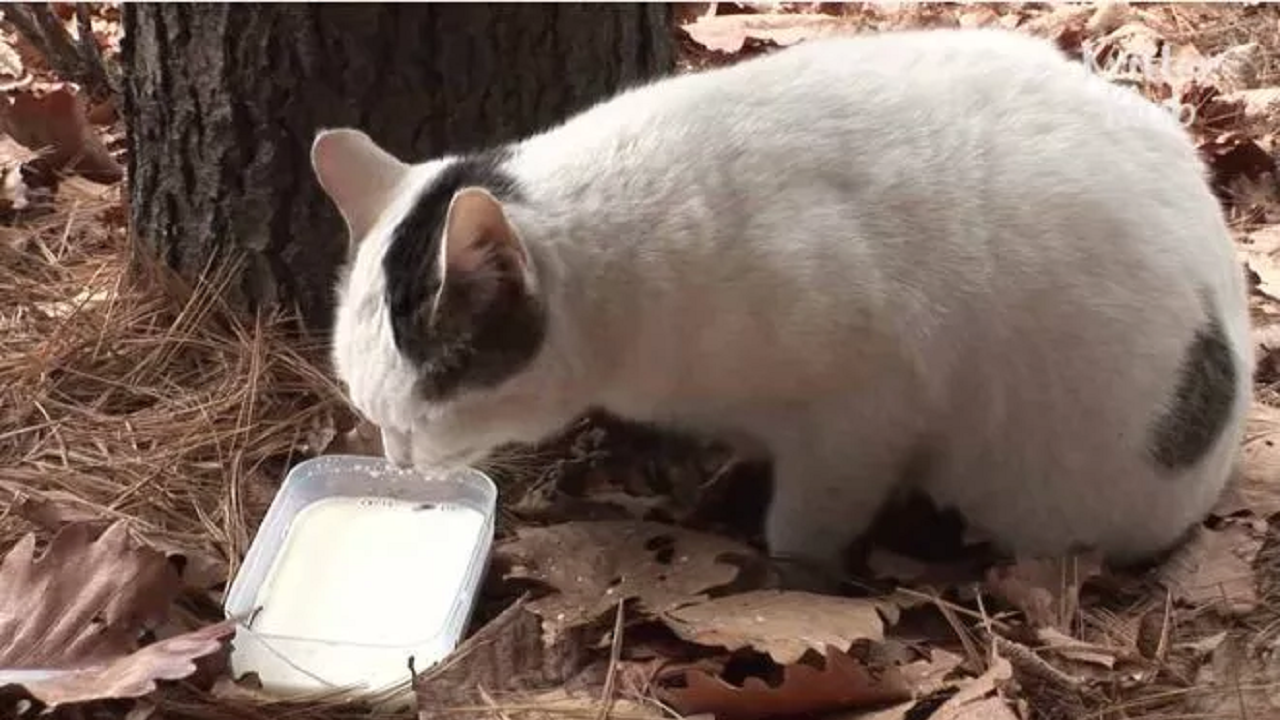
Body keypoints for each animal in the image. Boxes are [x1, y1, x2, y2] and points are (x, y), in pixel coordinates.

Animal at [309, 28, 1249, 586]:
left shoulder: (865, 410)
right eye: (371, 414)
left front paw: (790, 566)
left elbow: (807, 518)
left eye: (416, 419)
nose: (395, 461)